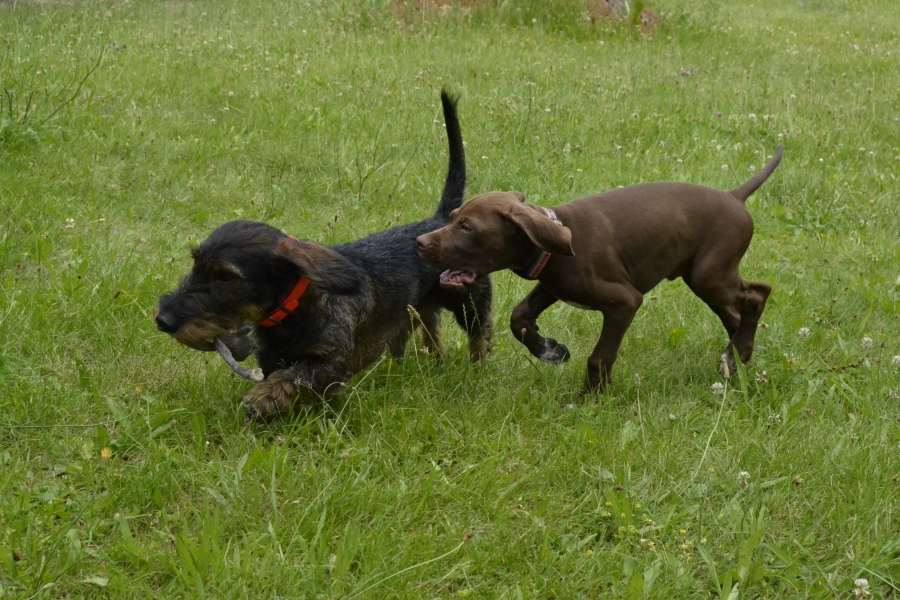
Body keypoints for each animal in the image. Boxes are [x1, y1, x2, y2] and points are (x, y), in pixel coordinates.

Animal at [155, 92, 493, 419]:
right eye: (196, 264)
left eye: (226, 276)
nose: (163, 320)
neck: (296, 305)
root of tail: (440, 220)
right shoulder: (271, 357)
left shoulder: (330, 361)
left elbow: (295, 376)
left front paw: (263, 398)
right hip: (419, 308)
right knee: (431, 327)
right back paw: (434, 360)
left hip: (471, 303)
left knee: (480, 335)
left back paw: (476, 372)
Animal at [416, 147, 782, 395]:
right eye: (452, 218)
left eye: (467, 228)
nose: (420, 243)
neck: (554, 244)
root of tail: (733, 196)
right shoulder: (551, 285)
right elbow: (519, 317)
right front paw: (549, 350)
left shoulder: (624, 302)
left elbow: (600, 356)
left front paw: (590, 399)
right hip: (705, 279)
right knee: (735, 314)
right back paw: (735, 356)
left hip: (710, 275)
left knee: (757, 294)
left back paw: (739, 351)